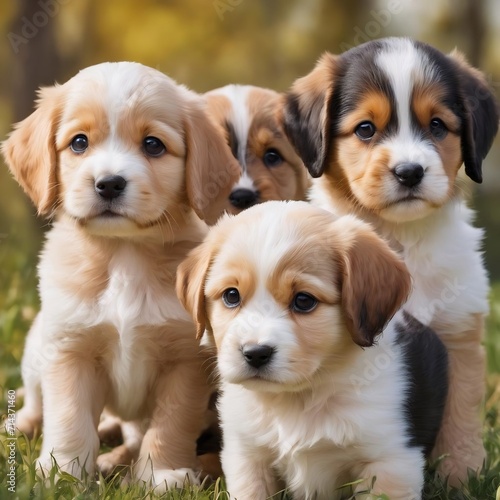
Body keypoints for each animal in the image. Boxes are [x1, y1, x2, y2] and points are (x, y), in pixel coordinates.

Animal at [1, 61, 239, 488]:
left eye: (153, 145)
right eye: (79, 143)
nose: (109, 183)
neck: (123, 254)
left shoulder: (185, 362)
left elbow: (171, 423)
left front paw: (161, 475)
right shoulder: (70, 349)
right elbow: (70, 419)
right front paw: (64, 473)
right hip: (35, 344)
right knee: (36, 399)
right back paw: (22, 425)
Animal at [177, 200, 450, 500]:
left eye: (304, 301)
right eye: (231, 295)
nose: (255, 353)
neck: (300, 398)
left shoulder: (391, 461)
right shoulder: (247, 456)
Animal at [284, 38, 498, 484]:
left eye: (437, 126)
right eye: (366, 128)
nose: (410, 172)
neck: (401, 243)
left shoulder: (458, 331)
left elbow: (459, 415)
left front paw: (461, 477)